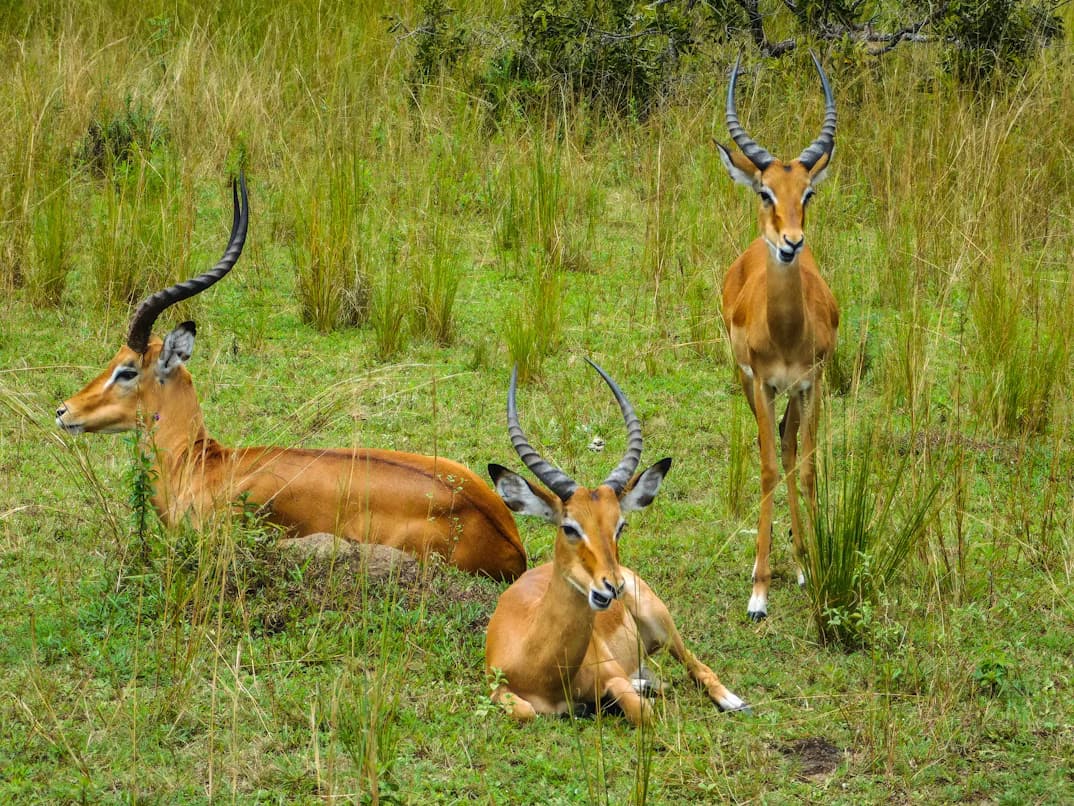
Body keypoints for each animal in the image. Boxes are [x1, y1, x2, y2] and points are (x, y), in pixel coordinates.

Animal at [485, 362, 747, 724]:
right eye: (569, 527)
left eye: (619, 526)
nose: (611, 587)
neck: (541, 667)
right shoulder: (499, 689)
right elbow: (524, 710)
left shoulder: (613, 676)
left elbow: (643, 713)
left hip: (661, 620)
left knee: (697, 665)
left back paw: (730, 699)